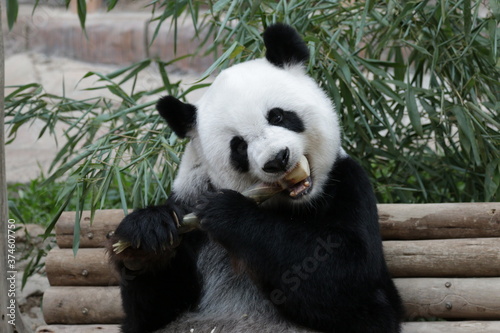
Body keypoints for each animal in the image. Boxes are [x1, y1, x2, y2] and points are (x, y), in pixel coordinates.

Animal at [108, 24, 402, 332]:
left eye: (278, 116)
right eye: (239, 146)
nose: (277, 159)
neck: (291, 206)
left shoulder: (348, 184)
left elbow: (349, 274)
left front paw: (227, 212)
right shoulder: (188, 204)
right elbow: (150, 315)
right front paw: (144, 237)